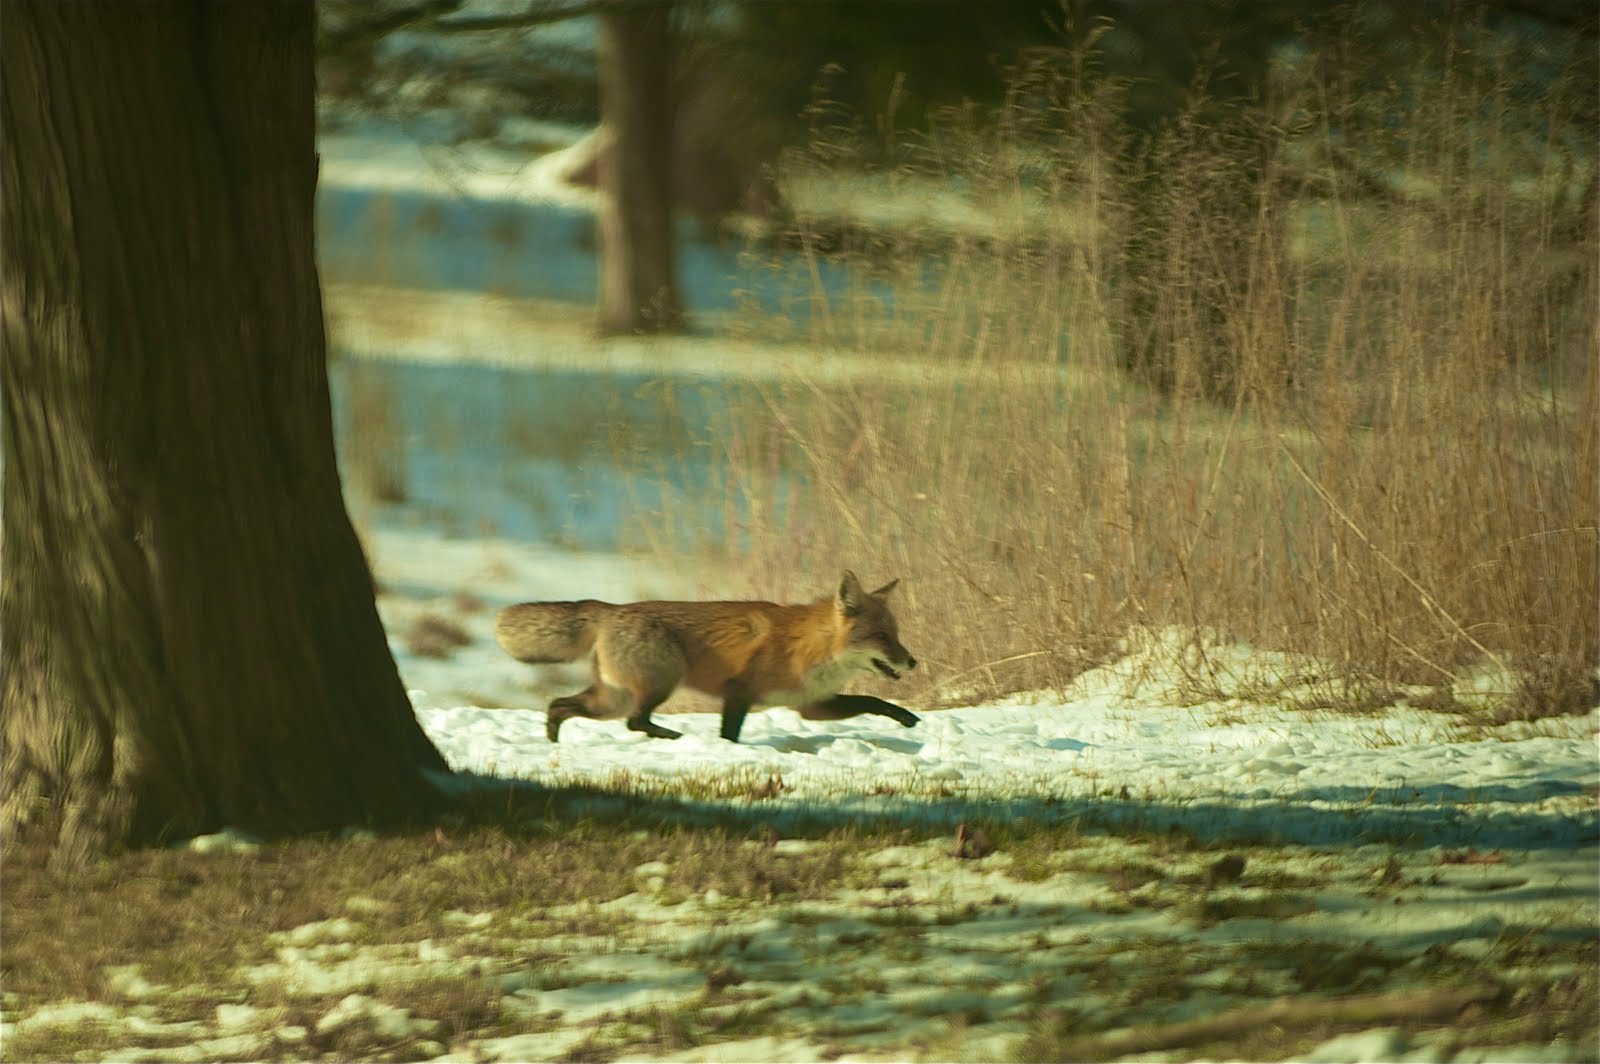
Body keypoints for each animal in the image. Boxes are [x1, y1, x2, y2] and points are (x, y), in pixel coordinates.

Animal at [494, 571, 919, 743]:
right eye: (882, 637)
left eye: (897, 635)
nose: (913, 662)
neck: (810, 649)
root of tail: (612, 609)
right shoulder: (739, 692)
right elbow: (729, 732)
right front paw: (731, 752)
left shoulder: (811, 705)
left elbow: (873, 701)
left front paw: (906, 718)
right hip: (660, 682)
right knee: (635, 722)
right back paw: (671, 735)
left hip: (611, 700)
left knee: (558, 705)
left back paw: (552, 743)